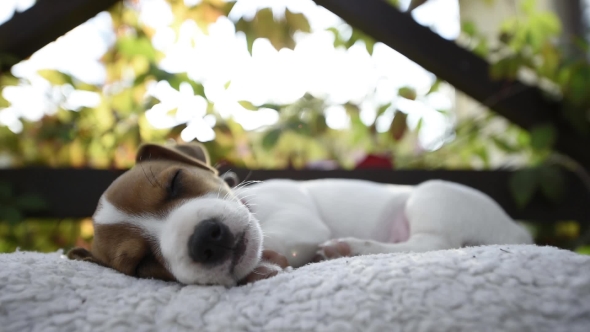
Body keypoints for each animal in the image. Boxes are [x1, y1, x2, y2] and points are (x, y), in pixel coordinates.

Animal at [67, 141, 536, 286]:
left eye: (176, 182)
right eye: (142, 264)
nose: (205, 239)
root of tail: (520, 234)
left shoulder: (296, 222)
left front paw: (267, 263)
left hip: (432, 197)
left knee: (433, 243)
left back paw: (348, 247)